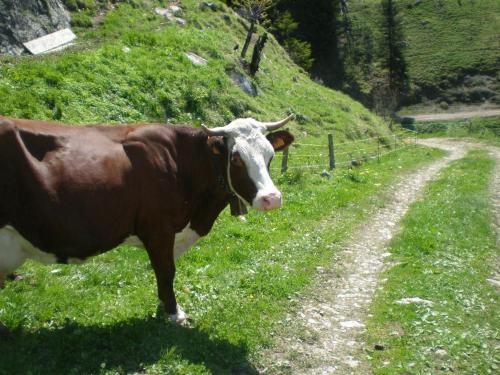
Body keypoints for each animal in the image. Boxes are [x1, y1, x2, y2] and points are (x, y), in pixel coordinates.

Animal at [0, 114, 292, 326]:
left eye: (270, 155)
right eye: (236, 158)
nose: (272, 198)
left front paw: (164, 304)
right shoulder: (159, 229)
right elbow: (166, 271)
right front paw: (174, 312)